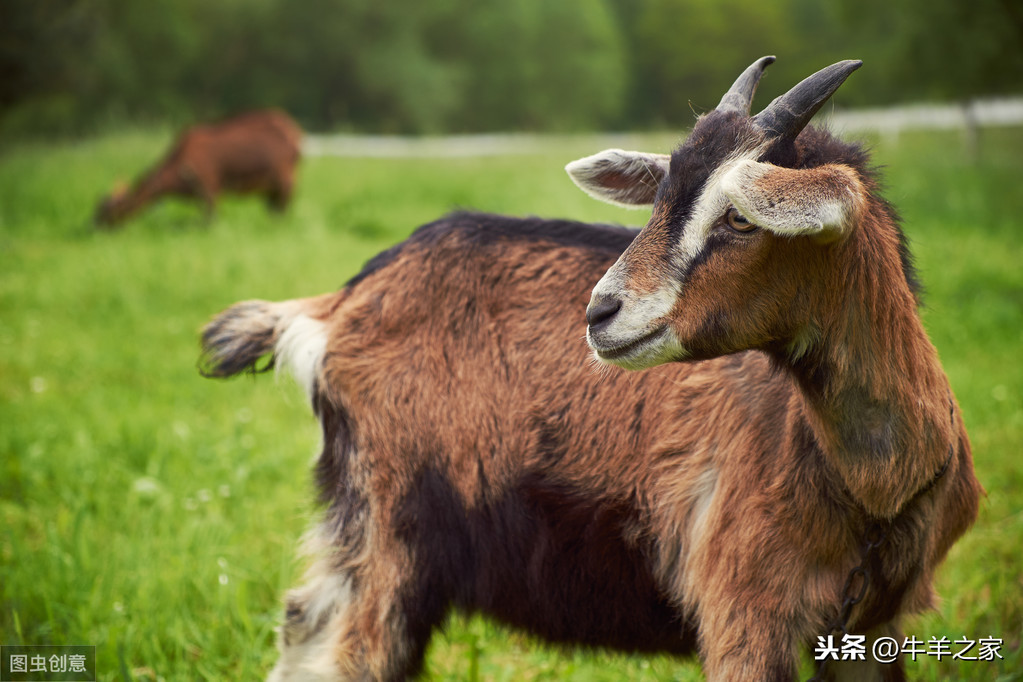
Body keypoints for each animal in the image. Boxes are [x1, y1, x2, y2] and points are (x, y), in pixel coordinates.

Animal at [95, 107, 298, 228]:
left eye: (105, 213)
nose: (92, 228)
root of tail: (294, 133)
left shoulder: (209, 188)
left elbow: (210, 221)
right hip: (272, 188)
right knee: (274, 209)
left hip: (285, 179)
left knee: (282, 208)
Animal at [201, 58, 982, 682]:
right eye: (660, 198)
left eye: (739, 218)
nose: (601, 312)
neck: (873, 484)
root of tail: (338, 304)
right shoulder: (743, 610)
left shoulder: (873, 627)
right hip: (389, 524)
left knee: (303, 625)